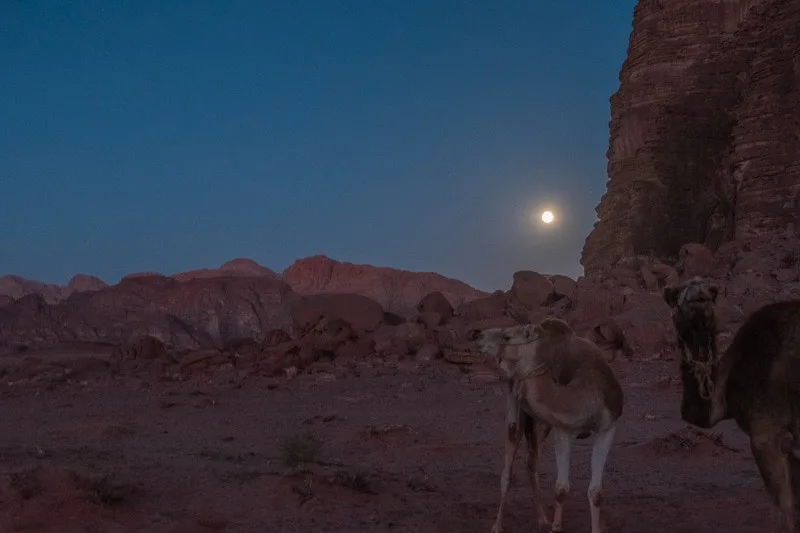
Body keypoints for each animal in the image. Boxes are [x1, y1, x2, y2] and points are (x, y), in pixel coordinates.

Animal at [472, 318, 628, 532]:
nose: (478, 335)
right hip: (515, 409)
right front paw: (556, 527)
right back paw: (498, 526)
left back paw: (542, 520)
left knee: (531, 463)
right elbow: (561, 488)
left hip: (540, 425)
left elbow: (596, 492)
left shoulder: (607, 429)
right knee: (508, 470)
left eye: (507, 336)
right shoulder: (563, 429)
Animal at [664, 276, 800, 528]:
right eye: (675, 295)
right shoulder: (789, 444)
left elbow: (784, 511)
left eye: (710, 292)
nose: (698, 293)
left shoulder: (765, 433)